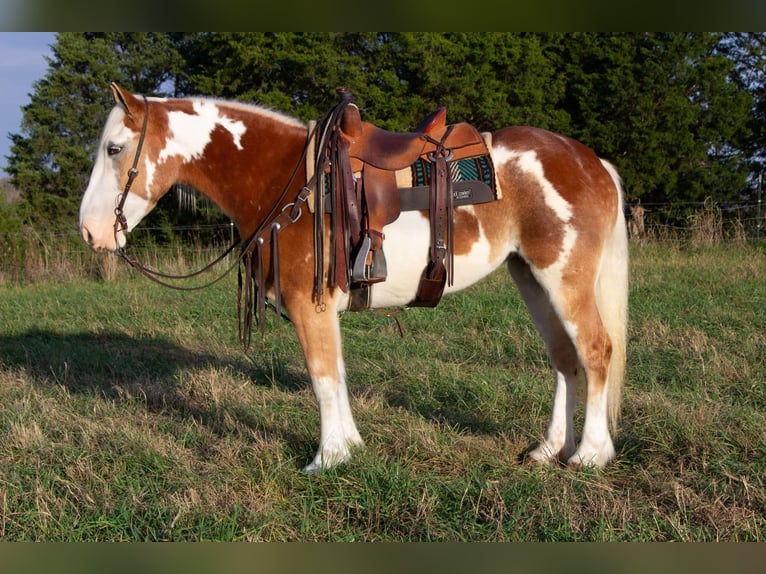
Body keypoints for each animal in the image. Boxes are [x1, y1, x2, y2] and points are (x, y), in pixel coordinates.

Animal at [79, 83, 632, 474]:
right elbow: (337, 375)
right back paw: (549, 449)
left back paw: (589, 455)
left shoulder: (310, 305)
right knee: (564, 360)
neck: (289, 182)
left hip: (563, 278)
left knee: (596, 351)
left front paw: (326, 459)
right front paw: (349, 447)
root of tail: (591, 161)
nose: (89, 231)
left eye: (114, 149)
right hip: (532, 279)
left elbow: (322, 378)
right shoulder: (324, 308)